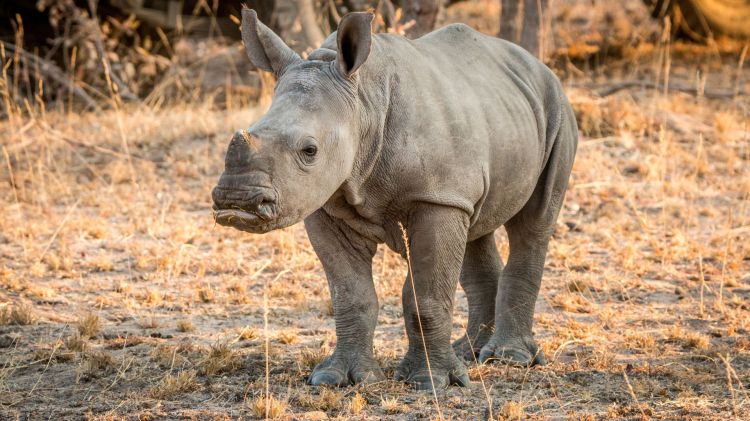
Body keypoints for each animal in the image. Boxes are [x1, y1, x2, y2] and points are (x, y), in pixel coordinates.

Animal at [212, 8, 578, 390]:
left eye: (309, 151)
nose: (237, 202)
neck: (362, 103)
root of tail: (536, 63)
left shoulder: (435, 198)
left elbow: (425, 296)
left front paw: (429, 382)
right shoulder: (327, 203)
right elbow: (350, 295)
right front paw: (338, 378)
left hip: (555, 107)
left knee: (533, 223)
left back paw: (510, 358)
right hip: (490, 126)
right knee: (476, 226)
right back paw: (470, 353)